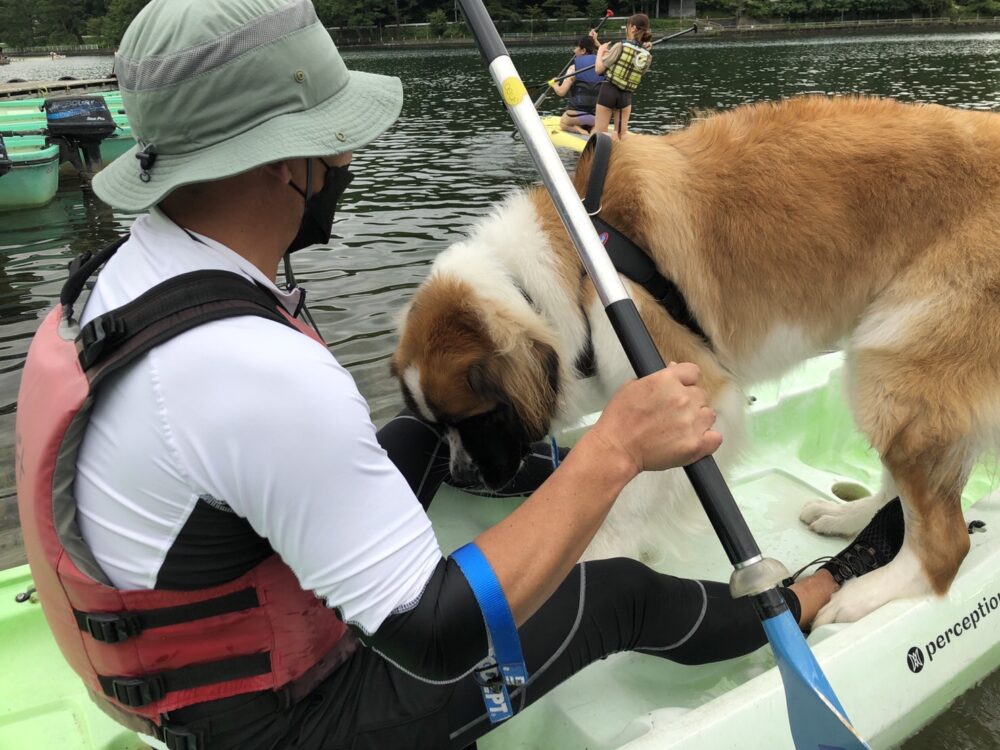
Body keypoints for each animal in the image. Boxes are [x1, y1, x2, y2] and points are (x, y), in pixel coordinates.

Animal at [390, 95, 1000, 628]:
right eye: (437, 426)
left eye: (477, 418)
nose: (463, 476)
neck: (575, 261)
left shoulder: (693, 395)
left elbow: (628, 505)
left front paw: (591, 561)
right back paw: (850, 517)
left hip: (889, 363)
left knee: (946, 544)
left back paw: (866, 593)